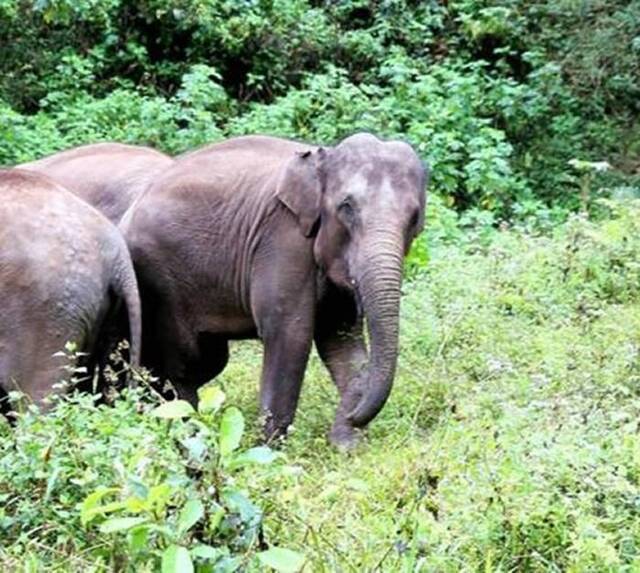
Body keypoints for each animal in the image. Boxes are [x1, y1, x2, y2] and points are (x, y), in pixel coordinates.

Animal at [122, 134, 428, 446]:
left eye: (414, 218)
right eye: (347, 207)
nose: (356, 415)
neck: (323, 157)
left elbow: (342, 338)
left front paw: (347, 445)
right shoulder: (283, 238)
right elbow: (290, 333)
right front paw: (269, 448)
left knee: (207, 360)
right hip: (160, 279)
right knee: (183, 362)